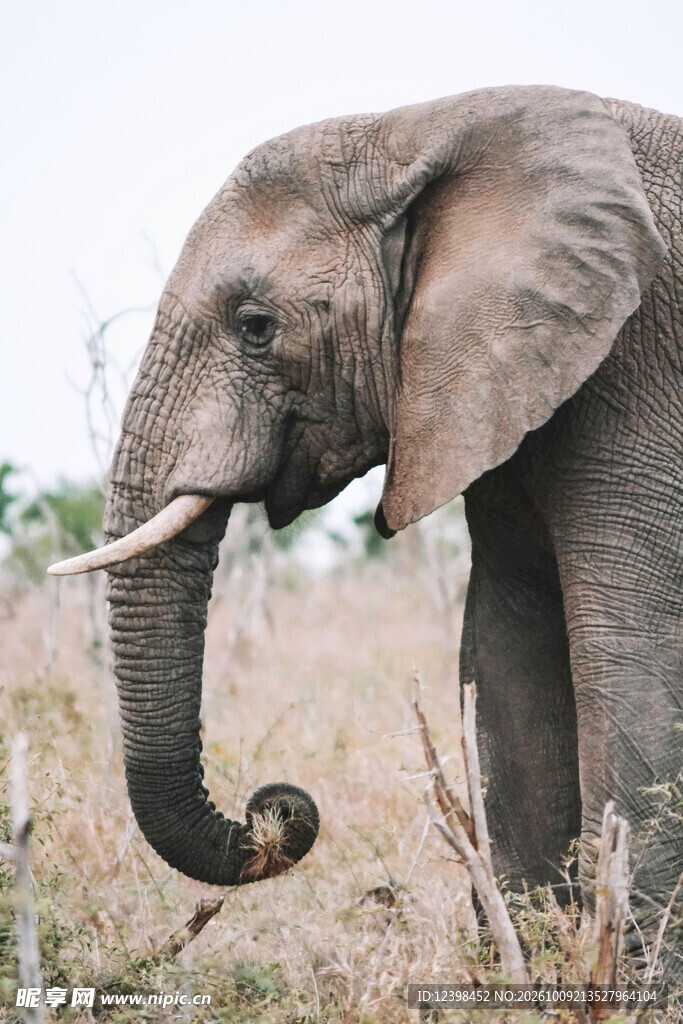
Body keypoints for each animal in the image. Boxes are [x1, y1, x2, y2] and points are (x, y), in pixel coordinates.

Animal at [50, 85, 682, 962]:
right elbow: (506, 647)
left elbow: (629, 650)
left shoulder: (637, 371)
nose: (273, 807)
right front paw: (527, 961)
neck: (429, 128)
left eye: (255, 325)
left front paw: (632, 972)